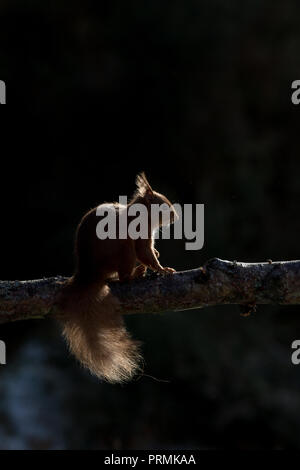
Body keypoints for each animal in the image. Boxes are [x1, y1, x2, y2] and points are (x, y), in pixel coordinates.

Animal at [57, 173, 177, 382]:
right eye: (163, 204)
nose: (175, 216)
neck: (142, 215)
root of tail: (88, 274)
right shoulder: (140, 234)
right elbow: (145, 253)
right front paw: (163, 269)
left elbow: (150, 253)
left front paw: (158, 254)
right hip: (124, 249)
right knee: (124, 278)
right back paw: (136, 274)